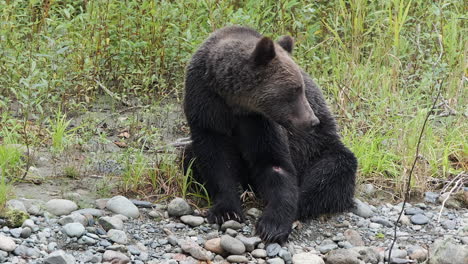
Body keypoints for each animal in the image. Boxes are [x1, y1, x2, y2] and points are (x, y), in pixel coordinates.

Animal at [182, 25, 354, 244]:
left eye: (302, 88)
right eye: (294, 90)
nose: (313, 121)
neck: (235, 103)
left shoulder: (259, 122)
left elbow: (275, 163)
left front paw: (272, 225)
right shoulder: (206, 108)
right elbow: (215, 160)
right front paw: (226, 211)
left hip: (320, 149)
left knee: (330, 173)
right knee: (189, 157)